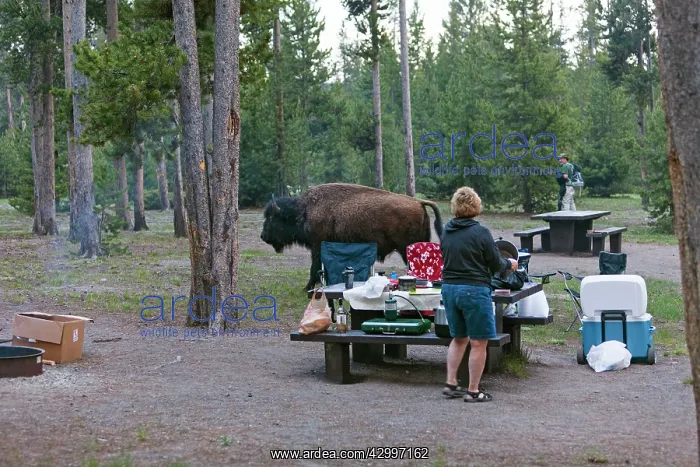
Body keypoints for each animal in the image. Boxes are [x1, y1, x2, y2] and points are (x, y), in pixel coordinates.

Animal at [260, 183, 444, 290]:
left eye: (272, 218)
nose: (263, 236)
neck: (302, 211)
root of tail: (418, 202)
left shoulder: (317, 245)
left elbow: (314, 266)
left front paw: (307, 288)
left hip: (408, 248)